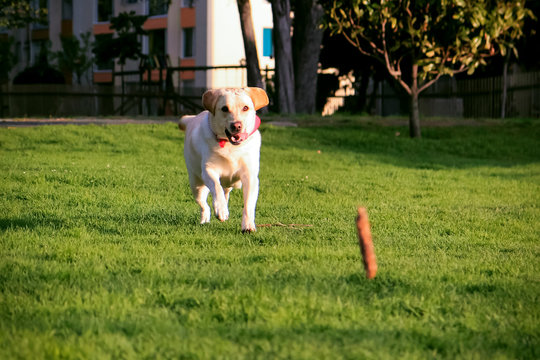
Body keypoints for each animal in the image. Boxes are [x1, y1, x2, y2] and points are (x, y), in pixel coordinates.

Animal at [178, 88, 268, 232]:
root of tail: (193, 118)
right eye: (225, 108)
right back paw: (205, 219)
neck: (230, 146)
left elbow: (248, 204)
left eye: (245, 108)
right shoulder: (208, 170)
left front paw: (248, 226)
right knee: (204, 204)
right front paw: (220, 209)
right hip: (196, 185)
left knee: (225, 192)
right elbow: (216, 187)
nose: (236, 125)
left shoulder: (250, 176)